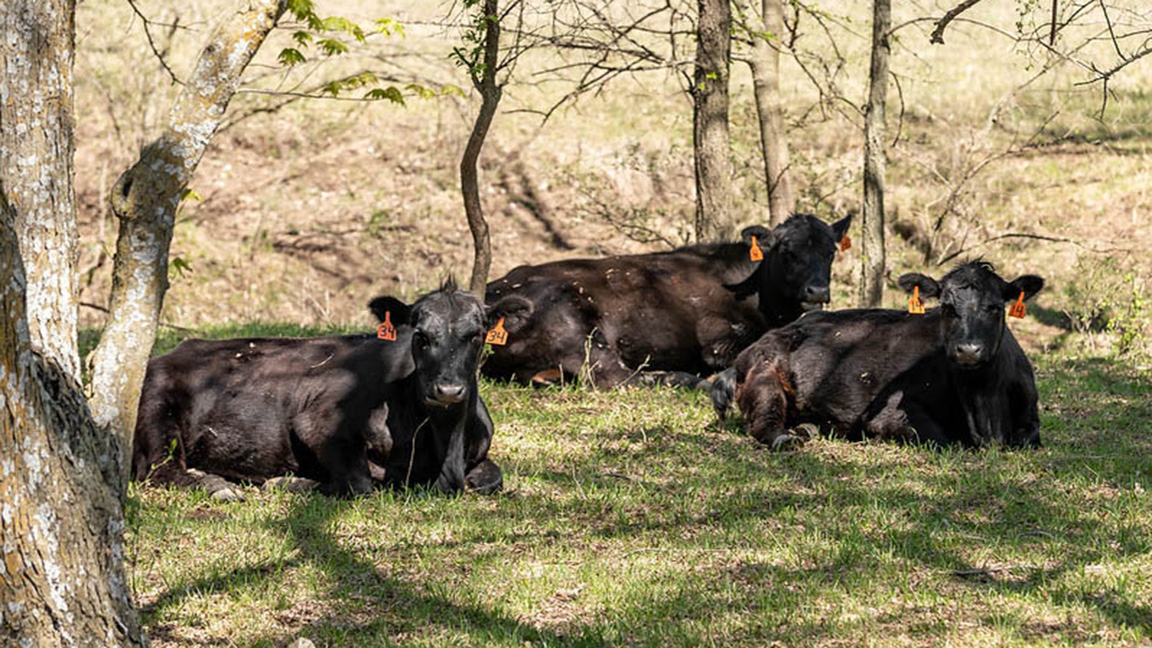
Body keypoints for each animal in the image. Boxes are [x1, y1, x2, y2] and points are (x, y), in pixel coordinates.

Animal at [132, 281, 504, 499]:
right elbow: (361, 484)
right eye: (420, 336)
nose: (447, 390)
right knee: (160, 469)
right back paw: (216, 485)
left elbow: (492, 478)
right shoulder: (318, 422)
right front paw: (290, 482)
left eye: (476, 335)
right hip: (156, 411)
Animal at [483, 213, 853, 389]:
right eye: (788, 251)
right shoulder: (717, 341)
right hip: (580, 333)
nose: (817, 291)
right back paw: (689, 379)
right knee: (617, 378)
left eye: (830, 251)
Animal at [713, 261, 1044, 449]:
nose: (967, 350)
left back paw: (806, 429)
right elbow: (940, 440)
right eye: (947, 307)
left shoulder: (1031, 422)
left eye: (995, 307)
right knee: (765, 423)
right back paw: (786, 437)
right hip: (765, 373)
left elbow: (1028, 438)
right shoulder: (892, 414)